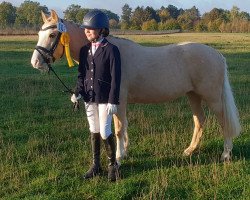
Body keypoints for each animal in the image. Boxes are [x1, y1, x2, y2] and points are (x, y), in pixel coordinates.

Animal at [30, 10, 240, 164]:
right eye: (40, 33)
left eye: (52, 34)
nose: (35, 62)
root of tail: (217, 55)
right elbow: (121, 126)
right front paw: (125, 150)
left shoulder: (118, 100)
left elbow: (118, 128)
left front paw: (119, 157)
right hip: (193, 95)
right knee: (200, 121)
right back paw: (190, 150)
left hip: (212, 97)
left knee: (223, 122)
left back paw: (225, 154)